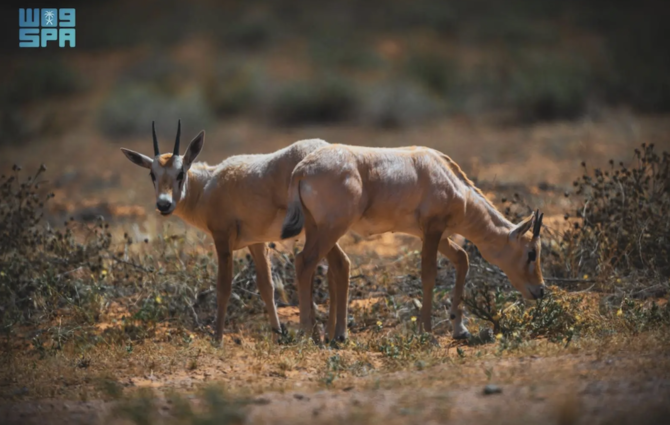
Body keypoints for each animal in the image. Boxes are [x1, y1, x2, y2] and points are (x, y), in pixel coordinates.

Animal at [120, 120, 346, 342]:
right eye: (153, 174)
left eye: (180, 173)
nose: (164, 205)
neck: (207, 185)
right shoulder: (257, 242)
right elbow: (266, 286)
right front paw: (277, 335)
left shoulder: (222, 237)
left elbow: (223, 287)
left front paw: (217, 339)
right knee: (337, 266)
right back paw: (330, 335)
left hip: (320, 229)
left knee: (331, 264)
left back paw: (330, 335)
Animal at [280, 144, 548, 340]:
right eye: (531, 252)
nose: (540, 290)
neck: (445, 173)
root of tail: (301, 169)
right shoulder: (433, 229)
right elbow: (428, 274)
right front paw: (426, 331)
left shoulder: (431, 234)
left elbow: (462, 258)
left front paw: (459, 328)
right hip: (332, 228)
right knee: (305, 261)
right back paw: (308, 332)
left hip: (318, 228)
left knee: (327, 264)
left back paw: (332, 334)